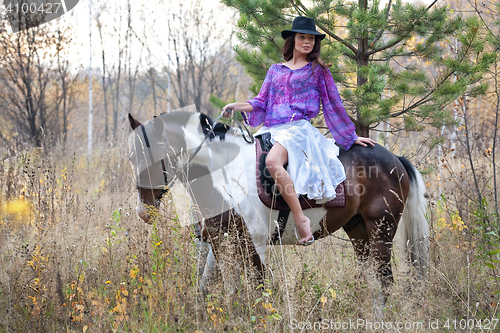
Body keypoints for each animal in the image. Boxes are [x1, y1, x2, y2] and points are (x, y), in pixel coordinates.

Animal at [127, 109, 428, 294]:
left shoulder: (255, 243)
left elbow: (259, 289)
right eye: (132, 157)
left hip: (381, 230)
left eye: (155, 157)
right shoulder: (220, 242)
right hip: (359, 231)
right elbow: (222, 289)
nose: (143, 211)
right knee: (375, 281)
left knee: (385, 281)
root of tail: (394, 159)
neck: (224, 171)